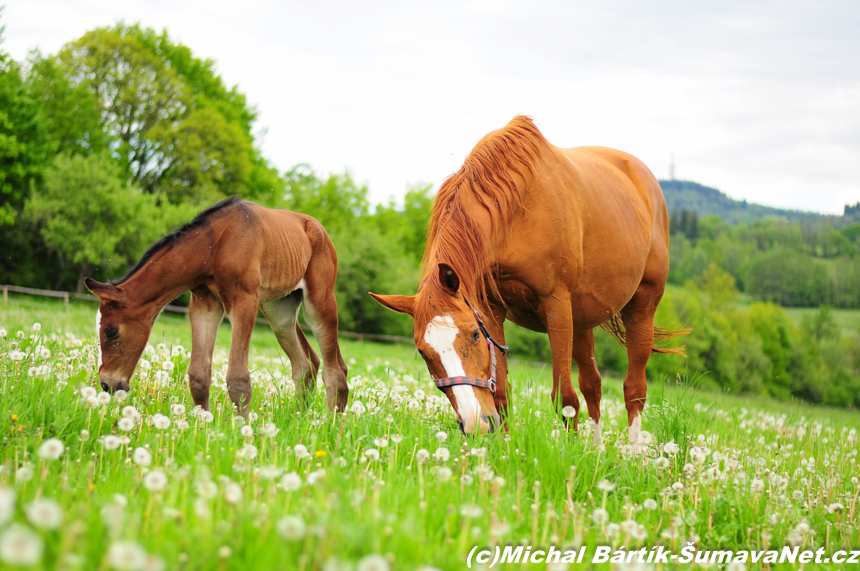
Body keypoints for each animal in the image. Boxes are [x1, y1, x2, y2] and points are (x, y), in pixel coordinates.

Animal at [370, 114, 684, 440]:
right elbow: (502, 394)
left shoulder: (556, 306)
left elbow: (565, 398)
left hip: (641, 307)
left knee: (634, 390)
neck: (513, 214)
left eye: (473, 334)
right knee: (593, 384)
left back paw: (633, 451)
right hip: (582, 319)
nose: (475, 425)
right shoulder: (492, 311)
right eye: (423, 352)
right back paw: (595, 449)